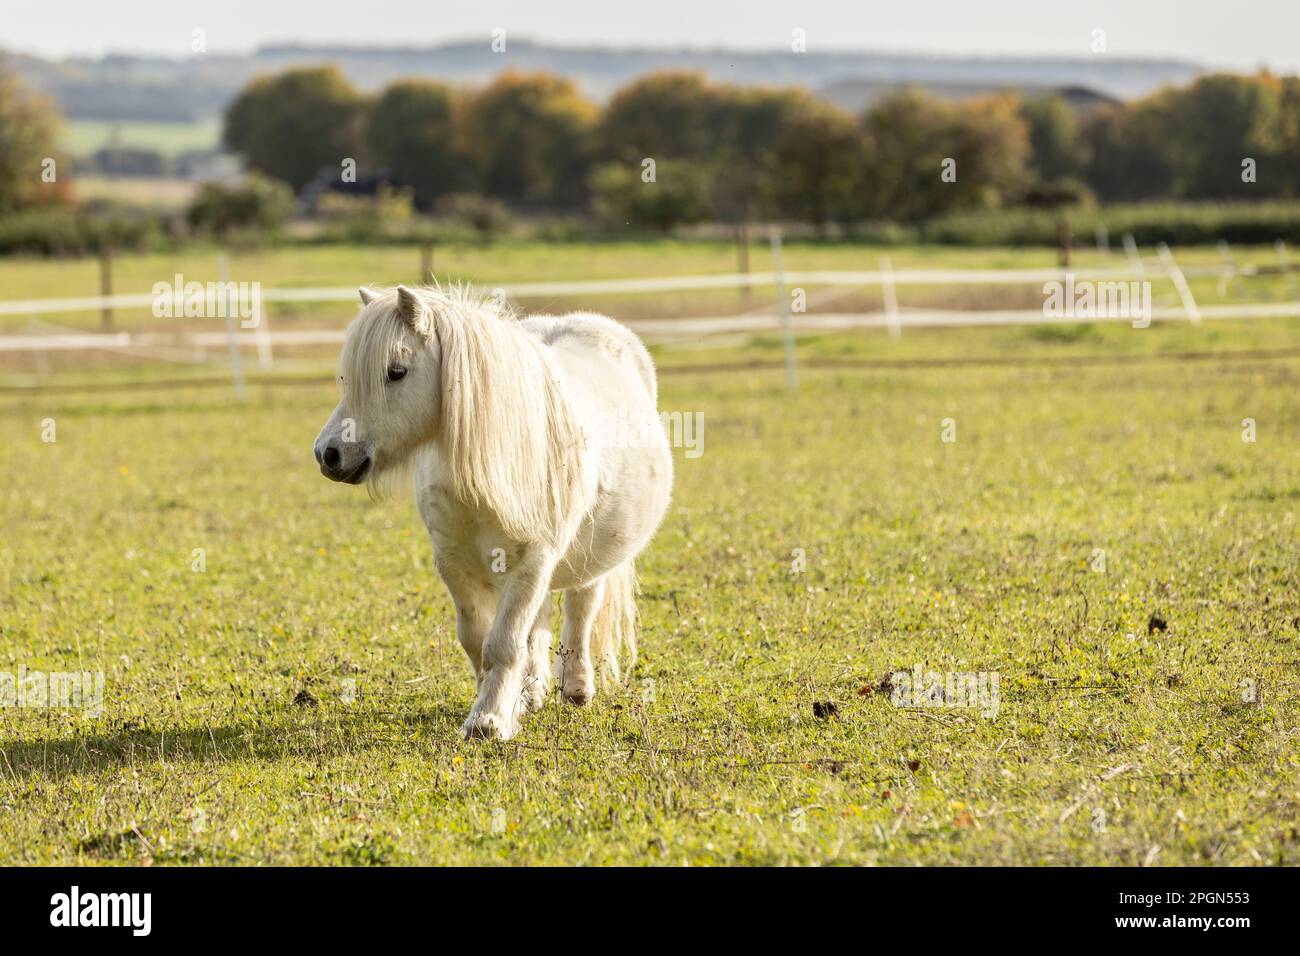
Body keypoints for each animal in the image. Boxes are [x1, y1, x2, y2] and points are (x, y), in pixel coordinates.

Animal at [313, 283, 670, 738]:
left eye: (396, 371)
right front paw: (500, 701)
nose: (328, 454)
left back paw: (575, 687)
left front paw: (489, 720)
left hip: (589, 558)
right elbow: (475, 637)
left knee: (581, 609)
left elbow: (503, 643)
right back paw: (531, 693)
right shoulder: (452, 561)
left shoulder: (534, 559)